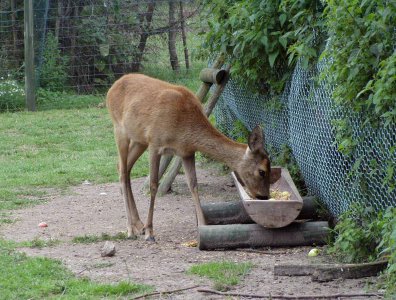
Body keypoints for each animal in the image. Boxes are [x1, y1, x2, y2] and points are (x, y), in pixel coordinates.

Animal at [106, 73, 280, 241]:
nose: (264, 196)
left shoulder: (186, 152)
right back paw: (131, 229)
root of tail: (111, 88)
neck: (185, 129)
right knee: (122, 171)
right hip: (119, 129)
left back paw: (138, 224)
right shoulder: (155, 143)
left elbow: (194, 185)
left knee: (123, 167)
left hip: (139, 140)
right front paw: (150, 232)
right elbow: (154, 185)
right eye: (262, 171)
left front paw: (203, 225)